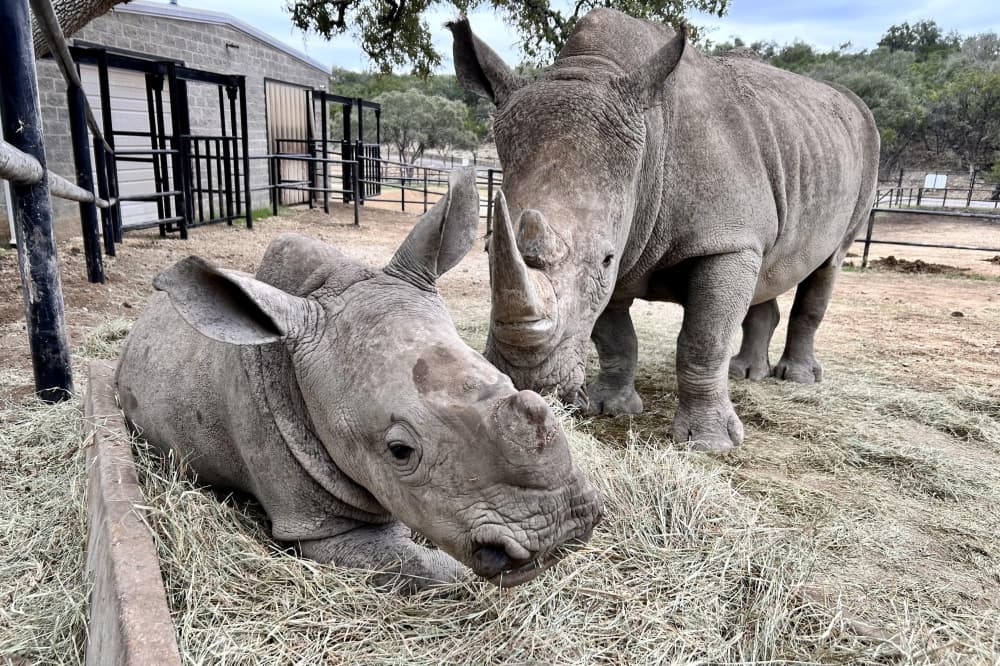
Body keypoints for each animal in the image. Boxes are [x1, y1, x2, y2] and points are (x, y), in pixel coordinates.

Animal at [449, 10, 880, 451]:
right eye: (488, 249)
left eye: (605, 258)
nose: (525, 377)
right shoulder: (633, 247)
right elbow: (615, 336)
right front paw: (610, 408)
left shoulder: (725, 240)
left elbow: (704, 339)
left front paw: (709, 443)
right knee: (769, 267)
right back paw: (745, 373)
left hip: (865, 148)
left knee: (829, 263)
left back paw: (797, 378)